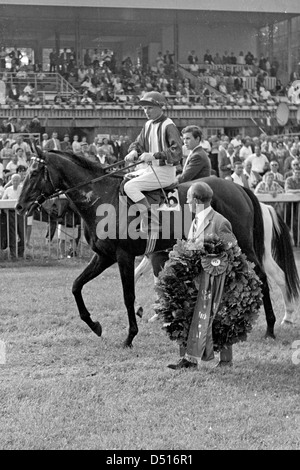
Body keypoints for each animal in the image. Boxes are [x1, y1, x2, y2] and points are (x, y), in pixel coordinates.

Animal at [16, 151, 300, 348]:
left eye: (34, 173)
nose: (19, 206)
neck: (103, 198)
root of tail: (239, 187)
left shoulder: (124, 256)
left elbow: (128, 295)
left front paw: (130, 336)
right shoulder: (104, 256)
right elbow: (76, 286)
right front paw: (95, 324)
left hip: (242, 244)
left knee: (263, 278)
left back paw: (271, 326)